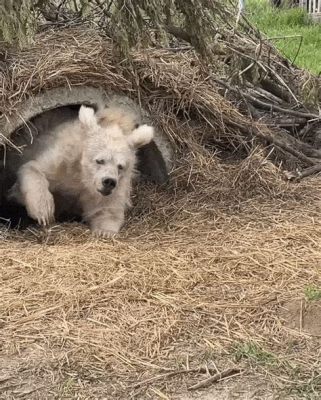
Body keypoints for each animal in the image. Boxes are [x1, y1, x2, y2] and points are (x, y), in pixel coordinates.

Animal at [8, 106, 154, 238]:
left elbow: (106, 209)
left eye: (120, 166)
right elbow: (33, 168)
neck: (83, 175)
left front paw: (104, 232)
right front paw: (44, 211)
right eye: (100, 160)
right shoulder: (62, 162)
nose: (109, 182)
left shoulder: (112, 188)